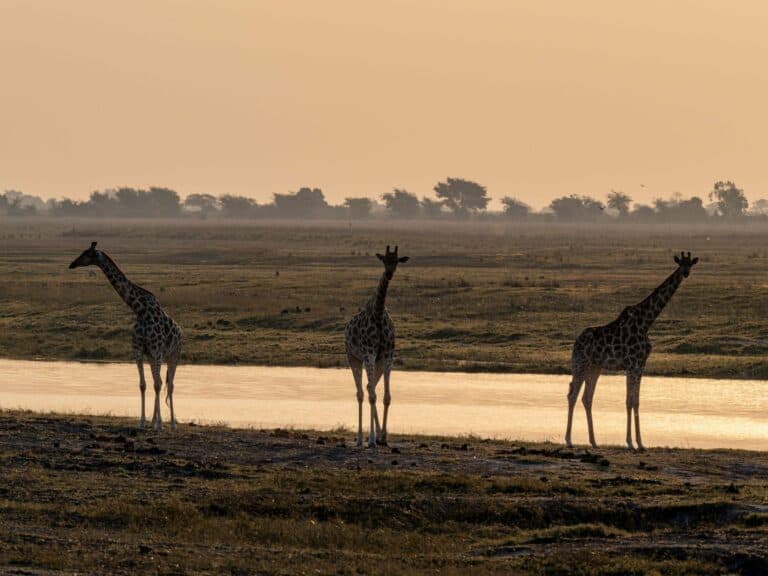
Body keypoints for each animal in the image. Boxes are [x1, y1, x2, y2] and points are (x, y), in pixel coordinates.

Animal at [69, 242, 182, 431]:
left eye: (86, 254)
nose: (72, 264)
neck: (140, 310)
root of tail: (181, 332)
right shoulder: (139, 351)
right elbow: (144, 385)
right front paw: (143, 422)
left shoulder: (156, 350)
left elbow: (158, 385)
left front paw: (159, 424)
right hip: (154, 357)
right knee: (158, 382)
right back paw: (154, 420)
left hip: (173, 355)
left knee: (170, 385)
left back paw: (172, 424)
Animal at [345, 245, 409, 448]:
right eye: (384, 260)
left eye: (396, 261)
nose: (388, 274)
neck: (379, 315)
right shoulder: (368, 354)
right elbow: (372, 395)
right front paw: (372, 440)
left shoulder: (387, 356)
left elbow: (386, 397)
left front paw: (383, 437)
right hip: (353, 358)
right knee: (361, 392)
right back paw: (360, 438)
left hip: (376, 362)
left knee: (368, 387)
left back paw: (376, 436)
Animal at [565, 252, 698, 451]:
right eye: (681, 264)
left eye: (690, 264)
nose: (686, 273)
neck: (646, 322)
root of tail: (576, 341)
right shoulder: (631, 364)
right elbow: (629, 400)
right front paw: (629, 442)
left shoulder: (641, 365)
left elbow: (636, 401)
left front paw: (641, 443)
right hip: (580, 364)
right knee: (572, 395)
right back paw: (569, 440)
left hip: (595, 367)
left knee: (586, 398)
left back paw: (594, 442)